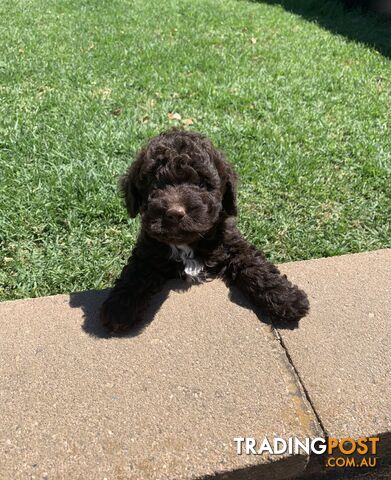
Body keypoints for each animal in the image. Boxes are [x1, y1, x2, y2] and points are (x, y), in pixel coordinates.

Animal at [101, 129, 310, 332]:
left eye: (201, 184)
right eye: (154, 184)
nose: (175, 213)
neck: (187, 244)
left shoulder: (232, 242)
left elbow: (255, 265)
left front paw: (286, 297)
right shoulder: (147, 251)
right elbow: (134, 274)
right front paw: (120, 308)